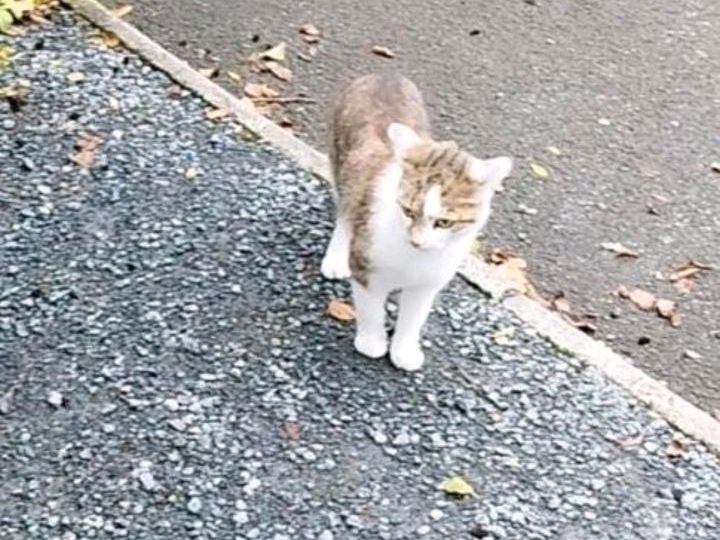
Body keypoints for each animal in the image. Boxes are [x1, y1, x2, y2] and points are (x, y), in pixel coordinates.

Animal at [320, 73, 512, 372]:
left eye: (444, 222)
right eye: (408, 211)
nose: (417, 241)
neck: (413, 258)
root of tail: (385, 75)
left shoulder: (427, 284)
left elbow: (413, 319)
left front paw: (404, 350)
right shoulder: (367, 266)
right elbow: (371, 308)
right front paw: (372, 342)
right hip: (342, 167)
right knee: (345, 212)